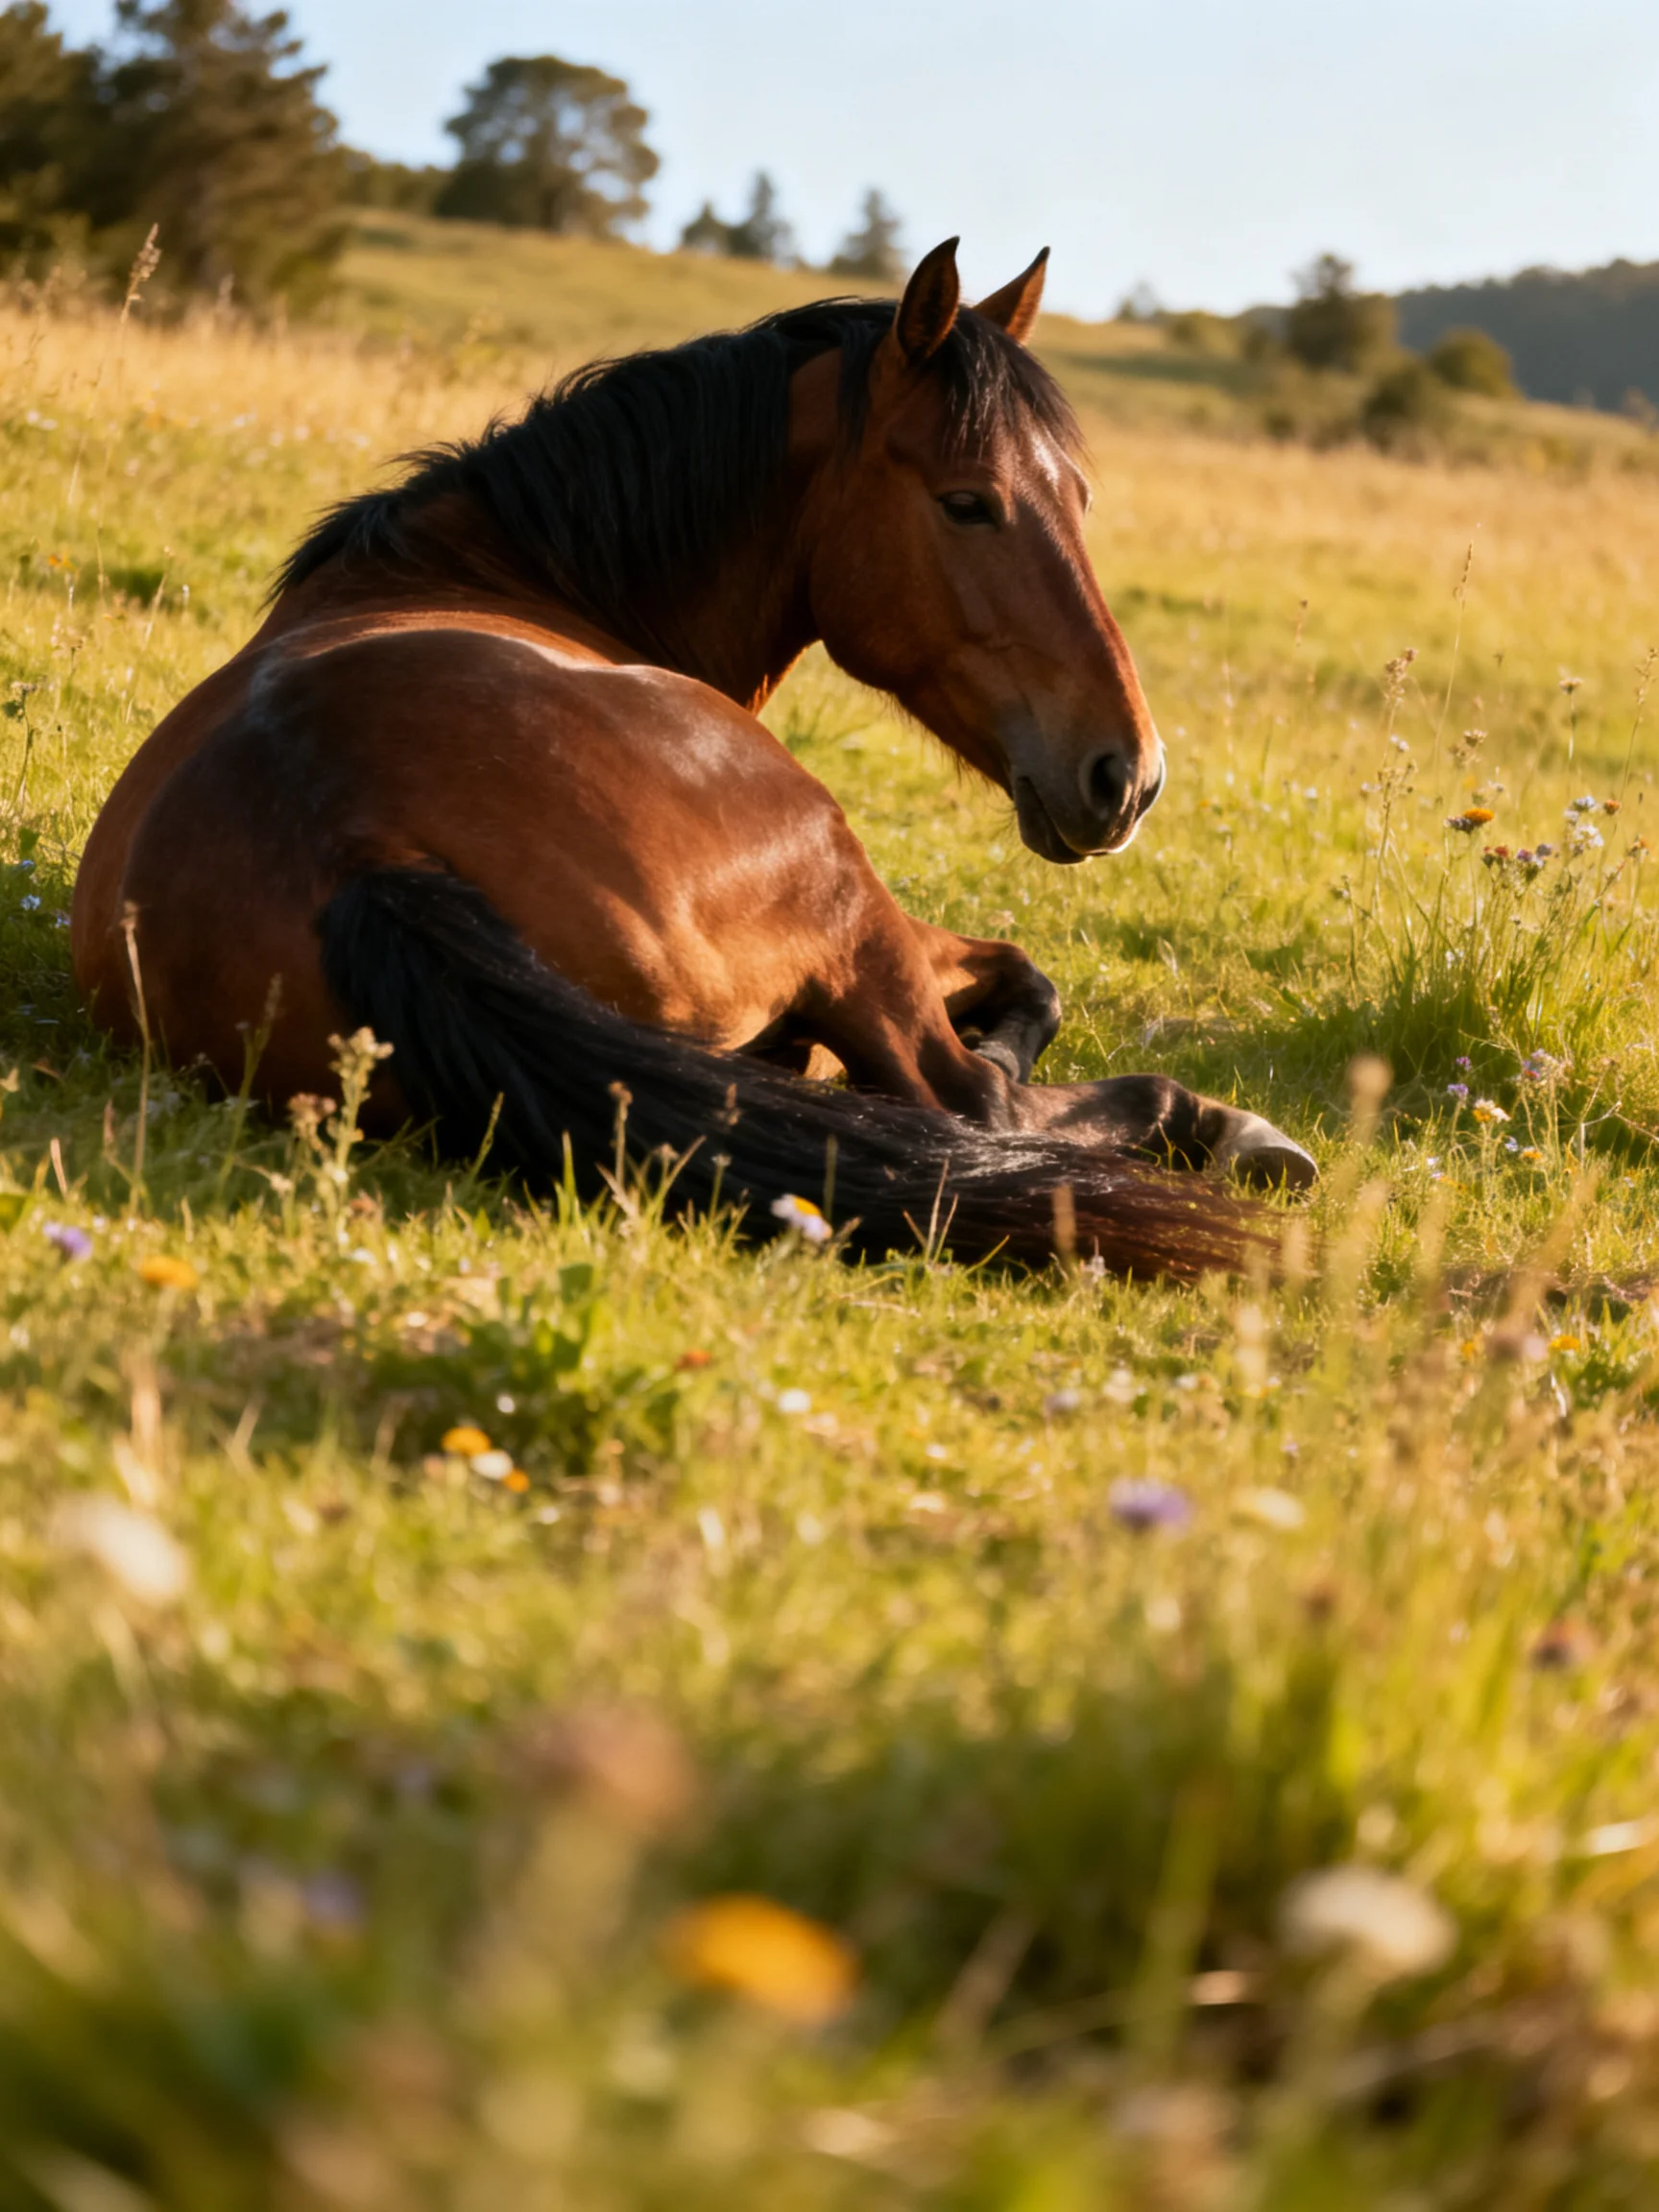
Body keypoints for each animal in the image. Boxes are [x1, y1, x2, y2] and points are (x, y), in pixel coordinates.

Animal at [71, 239, 1314, 1280]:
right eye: (968, 502)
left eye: (1079, 496)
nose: (1128, 775)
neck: (502, 565)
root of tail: (354, 845)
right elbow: (1026, 983)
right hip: (845, 894)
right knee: (968, 1101)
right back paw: (1223, 1130)